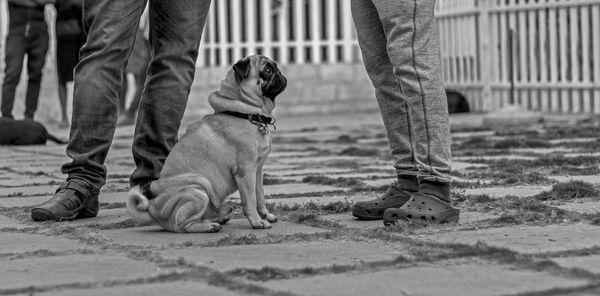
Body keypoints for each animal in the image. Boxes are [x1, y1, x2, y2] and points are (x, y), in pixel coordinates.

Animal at [126, 54, 286, 232]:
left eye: (274, 67)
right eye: (267, 70)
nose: (279, 72)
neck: (244, 113)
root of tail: (153, 209)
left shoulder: (257, 170)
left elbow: (260, 196)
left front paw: (266, 215)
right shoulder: (246, 170)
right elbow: (250, 200)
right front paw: (257, 222)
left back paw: (219, 218)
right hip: (198, 191)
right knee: (182, 225)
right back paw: (209, 226)